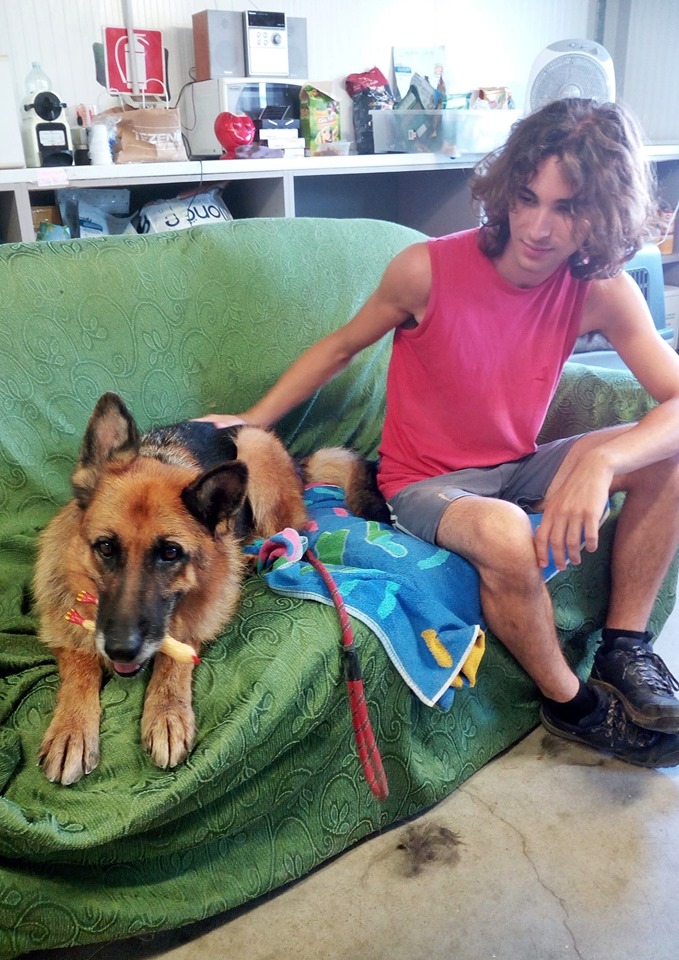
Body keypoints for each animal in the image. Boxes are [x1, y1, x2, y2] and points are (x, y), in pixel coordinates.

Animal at [34, 392, 306, 785]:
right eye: (105, 547)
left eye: (170, 553)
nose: (120, 649)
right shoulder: (65, 624)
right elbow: (79, 663)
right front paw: (71, 728)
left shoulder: (204, 607)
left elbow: (177, 652)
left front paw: (166, 711)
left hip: (256, 453)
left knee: (293, 531)